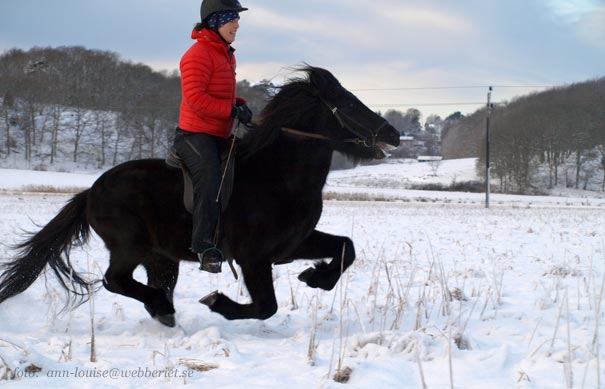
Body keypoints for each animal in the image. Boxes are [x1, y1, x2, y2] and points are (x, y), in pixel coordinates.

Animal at [0, 65, 402, 326]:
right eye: (349, 104)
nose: (394, 135)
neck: (280, 177)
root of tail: (91, 191)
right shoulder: (254, 258)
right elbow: (266, 307)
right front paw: (218, 302)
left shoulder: (293, 244)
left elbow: (346, 247)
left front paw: (315, 276)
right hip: (129, 246)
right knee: (115, 280)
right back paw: (162, 306)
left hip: (161, 257)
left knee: (148, 283)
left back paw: (162, 310)